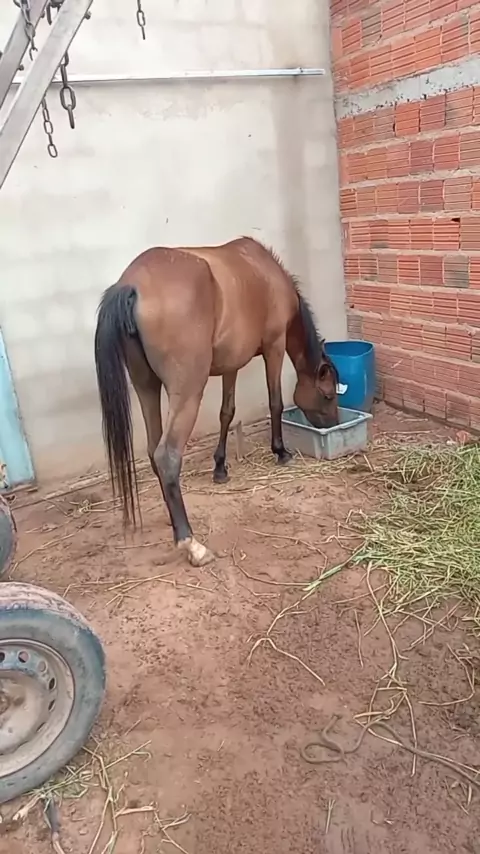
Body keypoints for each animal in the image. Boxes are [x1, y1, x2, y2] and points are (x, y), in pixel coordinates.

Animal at [94, 236, 339, 567]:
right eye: (327, 395)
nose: (335, 423)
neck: (267, 274)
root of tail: (130, 285)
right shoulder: (274, 347)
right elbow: (275, 402)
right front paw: (280, 452)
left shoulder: (231, 364)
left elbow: (227, 412)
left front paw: (220, 468)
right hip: (187, 392)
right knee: (167, 456)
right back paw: (191, 544)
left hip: (146, 387)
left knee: (154, 451)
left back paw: (175, 524)